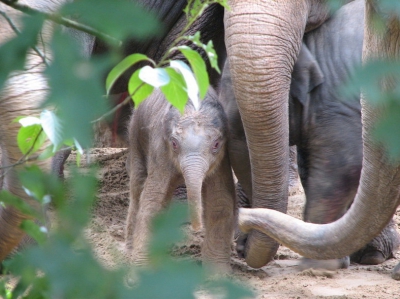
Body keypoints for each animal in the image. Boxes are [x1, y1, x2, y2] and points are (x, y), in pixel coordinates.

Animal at [126, 86, 236, 272]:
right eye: (174, 144)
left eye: (216, 144)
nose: (197, 228)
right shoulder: (160, 149)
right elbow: (153, 200)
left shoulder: (222, 160)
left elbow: (220, 201)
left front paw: (218, 275)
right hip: (135, 135)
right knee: (137, 189)